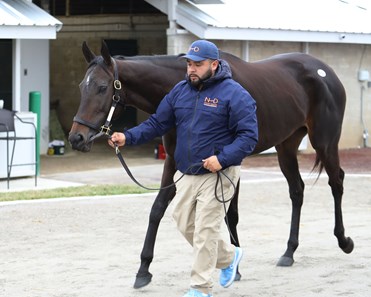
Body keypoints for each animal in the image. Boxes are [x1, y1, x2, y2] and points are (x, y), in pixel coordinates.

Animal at [68, 41, 356, 286]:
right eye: (82, 86)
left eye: (102, 87)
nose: (76, 138)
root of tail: (325, 72)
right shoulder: (174, 159)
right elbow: (158, 208)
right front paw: (143, 270)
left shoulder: (229, 160)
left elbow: (231, 214)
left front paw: (235, 267)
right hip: (286, 145)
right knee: (297, 190)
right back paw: (289, 252)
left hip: (325, 142)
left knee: (337, 182)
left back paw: (344, 241)